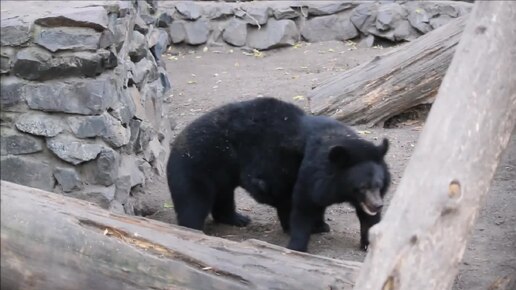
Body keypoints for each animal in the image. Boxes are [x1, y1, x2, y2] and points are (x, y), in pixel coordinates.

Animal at [167, 97, 390, 251]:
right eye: (361, 187)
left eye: (379, 185)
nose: (377, 204)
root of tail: (176, 142)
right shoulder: (306, 173)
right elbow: (302, 206)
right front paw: (299, 242)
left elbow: (365, 218)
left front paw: (367, 243)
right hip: (196, 165)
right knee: (193, 204)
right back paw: (194, 229)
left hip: (220, 171)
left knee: (223, 195)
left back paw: (237, 219)